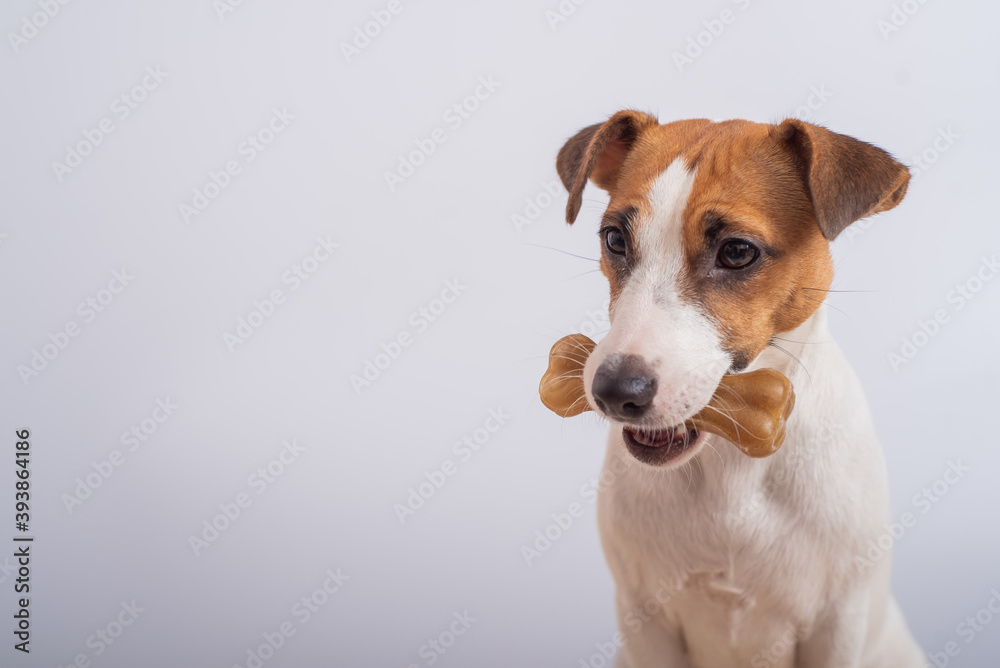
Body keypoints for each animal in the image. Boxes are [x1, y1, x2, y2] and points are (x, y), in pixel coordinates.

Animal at [556, 115, 920, 668]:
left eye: (737, 252)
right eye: (614, 238)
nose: (614, 391)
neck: (730, 466)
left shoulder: (838, 623)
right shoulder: (645, 621)